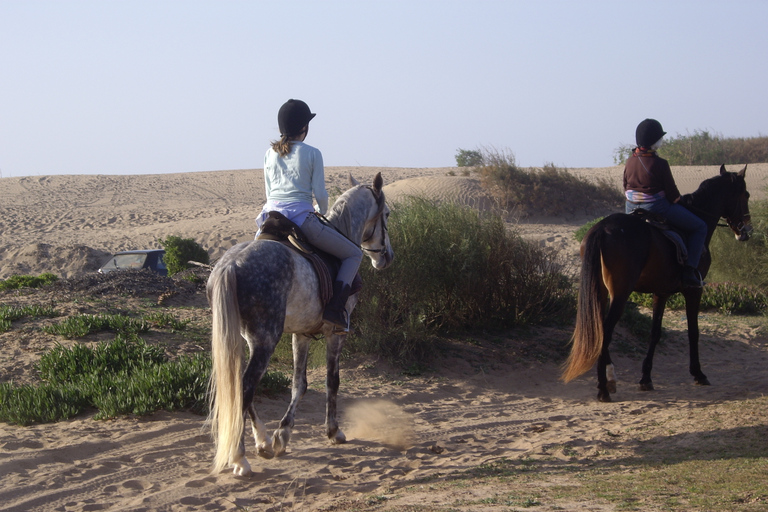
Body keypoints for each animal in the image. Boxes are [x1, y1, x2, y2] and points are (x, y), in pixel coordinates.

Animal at [207, 173, 392, 476]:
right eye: (387, 214)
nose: (386, 257)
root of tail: (231, 264)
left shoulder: (301, 335)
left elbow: (299, 384)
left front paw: (282, 435)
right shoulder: (335, 333)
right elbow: (332, 381)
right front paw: (333, 431)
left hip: (247, 339)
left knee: (241, 388)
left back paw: (262, 442)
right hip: (266, 340)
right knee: (245, 387)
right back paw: (240, 458)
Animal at [560, 166, 752, 402]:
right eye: (746, 195)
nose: (746, 230)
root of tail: (602, 228)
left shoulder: (660, 293)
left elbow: (655, 333)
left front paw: (645, 378)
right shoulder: (693, 291)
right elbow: (693, 331)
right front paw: (698, 373)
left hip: (601, 292)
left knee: (601, 330)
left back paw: (610, 380)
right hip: (620, 294)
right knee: (606, 331)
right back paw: (604, 388)